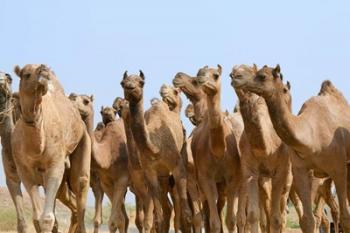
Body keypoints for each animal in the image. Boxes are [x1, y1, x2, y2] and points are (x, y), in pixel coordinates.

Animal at [13, 64, 91, 233]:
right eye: (26, 74)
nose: (44, 71)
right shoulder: (23, 169)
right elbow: (37, 217)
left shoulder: (55, 164)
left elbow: (47, 218)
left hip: (84, 142)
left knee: (81, 185)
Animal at [67, 93, 129, 233]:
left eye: (86, 101)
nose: (71, 96)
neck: (108, 155)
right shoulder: (106, 183)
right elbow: (118, 220)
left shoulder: (122, 179)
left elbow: (113, 221)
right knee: (125, 218)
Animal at [119, 70, 191, 233]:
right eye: (122, 83)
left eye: (141, 82)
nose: (130, 88)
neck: (156, 148)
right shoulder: (150, 172)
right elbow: (157, 217)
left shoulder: (178, 167)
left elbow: (186, 215)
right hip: (162, 176)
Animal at [174, 65, 242, 233]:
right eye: (198, 74)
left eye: (216, 75)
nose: (178, 76)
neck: (219, 151)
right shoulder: (203, 179)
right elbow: (211, 221)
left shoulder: (232, 178)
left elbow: (230, 220)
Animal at [232, 62, 350, 232]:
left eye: (262, 76)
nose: (236, 77)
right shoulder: (299, 169)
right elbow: (307, 220)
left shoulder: (338, 168)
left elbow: (345, 217)